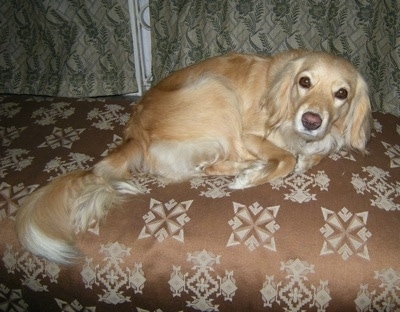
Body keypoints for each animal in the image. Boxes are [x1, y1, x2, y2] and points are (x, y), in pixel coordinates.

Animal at [14, 50, 372, 264]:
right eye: (304, 81)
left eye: (342, 94)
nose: (311, 120)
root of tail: (135, 131)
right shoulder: (251, 135)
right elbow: (285, 159)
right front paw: (257, 174)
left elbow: (316, 153)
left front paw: (310, 154)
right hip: (219, 90)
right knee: (215, 163)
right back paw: (247, 170)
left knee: (207, 167)